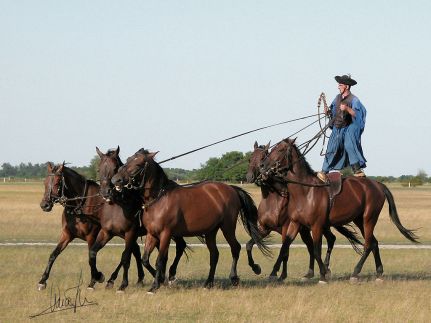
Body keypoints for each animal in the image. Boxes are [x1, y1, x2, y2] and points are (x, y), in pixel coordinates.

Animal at [38, 163, 144, 292]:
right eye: (45, 182)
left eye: (58, 183)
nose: (45, 205)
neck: (81, 205)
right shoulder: (67, 235)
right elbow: (53, 255)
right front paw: (42, 281)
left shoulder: (91, 237)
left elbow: (91, 258)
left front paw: (96, 278)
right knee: (135, 251)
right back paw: (137, 278)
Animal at [97, 148, 190, 288]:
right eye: (99, 169)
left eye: (114, 168)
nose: (105, 192)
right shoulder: (109, 232)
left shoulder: (131, 233)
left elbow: (126, 256)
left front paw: (121, 283)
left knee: (180, 246)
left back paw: (171, 275)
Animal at [111, 149, 270, 294]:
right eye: (128, 159)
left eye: (138, 164)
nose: (115, 180)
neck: (159, 200)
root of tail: (231, 188)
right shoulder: (152, 234)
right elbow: (145, 259)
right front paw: (162, 279)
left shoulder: (166, 234)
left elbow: (160, 259)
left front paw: (155, 285)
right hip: (211, 231)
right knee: (214, 254)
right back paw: (208, 283)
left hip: (227, 227)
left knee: (235, 248)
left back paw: (235, 277)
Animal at [245, 142, 362, 280]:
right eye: (251, 158)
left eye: (263, 156)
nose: (250, 177)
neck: (273, 201)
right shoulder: (265, 229)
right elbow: (249, 245)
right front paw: (256, 268)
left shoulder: (286, 228)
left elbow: (285, 251)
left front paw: (280, 274)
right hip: (309, 230)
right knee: (315, 245)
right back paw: (312, 272)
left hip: (317, 227)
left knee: (327, 240)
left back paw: (324, 269)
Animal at [260, 139, 418, 284]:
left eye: (280, 150)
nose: (262, 166)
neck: (306, 191)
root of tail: (378, 185)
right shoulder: (295, 223)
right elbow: (285, 246)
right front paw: (274, 274)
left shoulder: (316, 226)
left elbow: (316, 250)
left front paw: (323, 275)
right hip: (359, 220)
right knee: (374, 242)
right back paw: (379, 273)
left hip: (369, 219)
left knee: (368, 244)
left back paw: (355, 273)